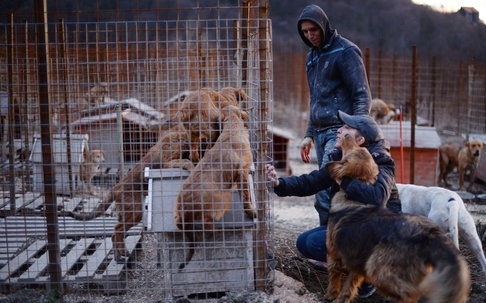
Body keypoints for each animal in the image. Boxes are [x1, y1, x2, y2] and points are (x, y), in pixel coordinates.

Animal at [322, 136, 470, 303]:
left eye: (353, 149)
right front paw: (342, 299)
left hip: (378, 270)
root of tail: (431, 236)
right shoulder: (358, 263)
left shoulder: (333, 252)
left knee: (409, 295)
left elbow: (334, 277)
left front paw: (330, 296)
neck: (354, 197)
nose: (347, 136)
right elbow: (349, 287)